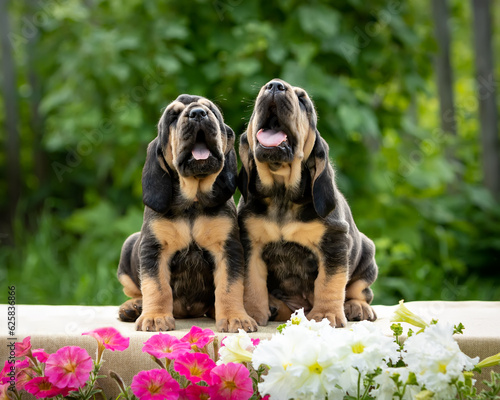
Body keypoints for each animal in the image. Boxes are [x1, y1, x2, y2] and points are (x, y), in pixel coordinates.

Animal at [117, 93, 258, 332]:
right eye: (173, 117)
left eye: (211, 110)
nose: (198, 113)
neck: (192, 201)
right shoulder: (153, 248)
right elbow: (156, 286)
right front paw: (155, 317)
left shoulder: (228, 248)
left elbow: (230, 286)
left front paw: (234, 318)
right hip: (129, 246)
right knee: (137, 289)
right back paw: (133, 307)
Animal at [237, 79, 376, 328]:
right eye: (263, 90)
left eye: (302, 100)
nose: (275, 86)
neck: (282, 194)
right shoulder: (251, 244)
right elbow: (252, 283)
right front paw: (252, 312)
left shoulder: (334, 244)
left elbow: (329, 283)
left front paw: (327, 315)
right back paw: (274, 306)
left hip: (367, 255)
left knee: (360, 289)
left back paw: (357, 306)